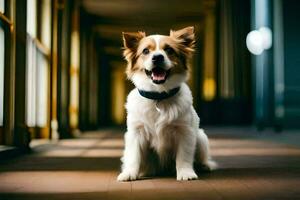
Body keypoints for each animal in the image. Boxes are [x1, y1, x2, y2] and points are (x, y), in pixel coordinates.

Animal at [116, 26, 216, 181]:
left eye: (169, 50)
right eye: (146, 51)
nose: (157, 57)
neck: (159, 97)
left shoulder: (185, 132)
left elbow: (184, 155)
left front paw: (185, 173)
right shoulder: (135, 133)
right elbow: (134, 156)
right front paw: (129, 173)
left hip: (200, 137)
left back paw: (205, 166)